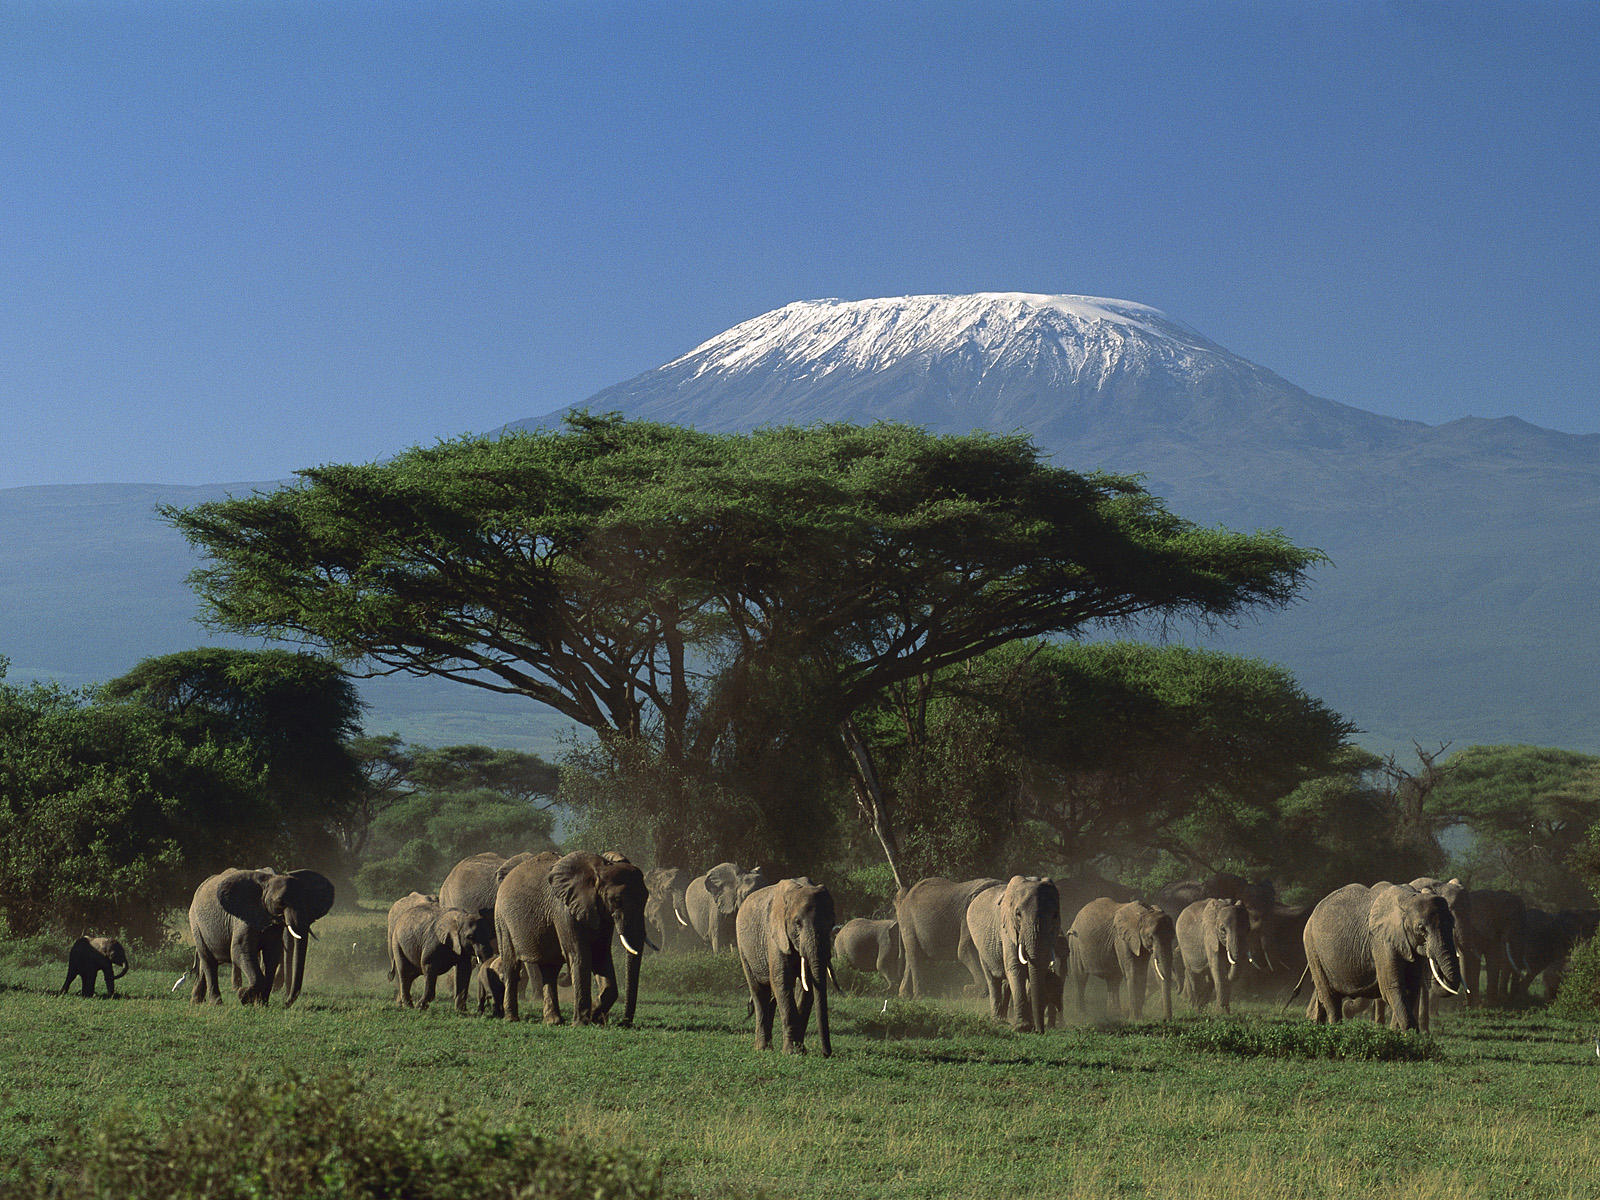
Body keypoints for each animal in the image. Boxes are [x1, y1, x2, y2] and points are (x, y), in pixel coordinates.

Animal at [187, 870, 334, 1011]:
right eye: (281, 903)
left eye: (307, 903)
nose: (285, 1003)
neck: (267, 882)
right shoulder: (243, 918)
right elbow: (239, 951)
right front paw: (243, 996)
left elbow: (272, 955)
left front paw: (262, 1004)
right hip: (196, 924)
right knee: (208, 960)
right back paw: (216, 1003)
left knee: (206, 963)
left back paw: (196, 1001)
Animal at [499, 851, 649, 1030]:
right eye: (617, 900)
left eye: (646, 898)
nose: (625, 1023)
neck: (599, 870)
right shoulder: (564, 910)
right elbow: (579, 955)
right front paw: (581, 1023)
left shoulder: (601, 914)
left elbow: (600, 955)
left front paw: (595, 1016)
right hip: (502, 920)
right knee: (511, 965)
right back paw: (511, 1019)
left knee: (550, 970)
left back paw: (553, 1021)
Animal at [736, 876, 838, 1056]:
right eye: (797, 923)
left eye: (831, 923)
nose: (827, 1054)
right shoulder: (775, 936)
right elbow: (782, 981)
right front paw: (791, 1053)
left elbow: (806, 987)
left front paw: (800, 1050)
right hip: (743, 948)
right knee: (759, 992)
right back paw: (762, 1049)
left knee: (770, 998)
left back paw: (768, 1047)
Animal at [960, 876, 1062, 1036]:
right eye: (1018, 914)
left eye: (1055, 915)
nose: (1040, 1031)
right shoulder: (1007, 929)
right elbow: (1016, 968)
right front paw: (1023, 1028)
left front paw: (1028, 1026)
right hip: (980, 945)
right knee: (992, 979)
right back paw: (998, 1021)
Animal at [1299, 883, 1465, 1036]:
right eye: (1421, 928)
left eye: (1452, 924)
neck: (1408, 899)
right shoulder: (1382, 942)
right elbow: (1392, 987)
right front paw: (1411, 1035)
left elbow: (1411, 987)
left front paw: (1401, 1035)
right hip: (1312, 947)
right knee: (1329, 995)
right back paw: (1335, 1030)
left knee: (1322, 996)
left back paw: (1316, 1027)